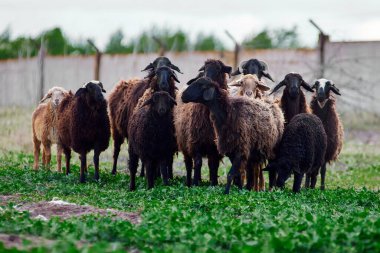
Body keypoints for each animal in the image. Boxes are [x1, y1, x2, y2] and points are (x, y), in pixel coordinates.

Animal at [174, 58, 232, 186]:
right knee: (189, 164)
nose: (207, 79)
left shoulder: (215, 147)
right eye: (204, 69)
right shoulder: (195, 142)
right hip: (185, 144)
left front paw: (214, 183)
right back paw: (189, 181)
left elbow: (214, 165)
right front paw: (195, 183)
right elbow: (198, 163)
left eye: (219, 69)